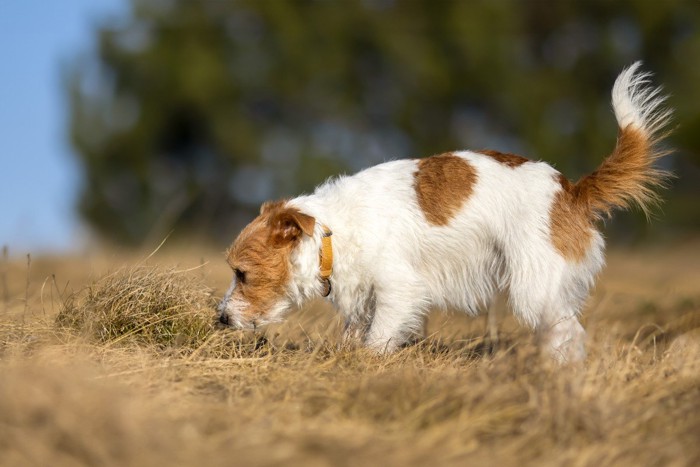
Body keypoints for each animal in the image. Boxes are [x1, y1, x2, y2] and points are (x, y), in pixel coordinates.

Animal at [217, 61, 672, 362]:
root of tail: (572, 191)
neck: (332, 232)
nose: (220, 318)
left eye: (242, 273)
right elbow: (354, 332)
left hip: (535, 288)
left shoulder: (399, 291)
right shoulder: (365, 298)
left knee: (570, 335)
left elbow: (378, 339)